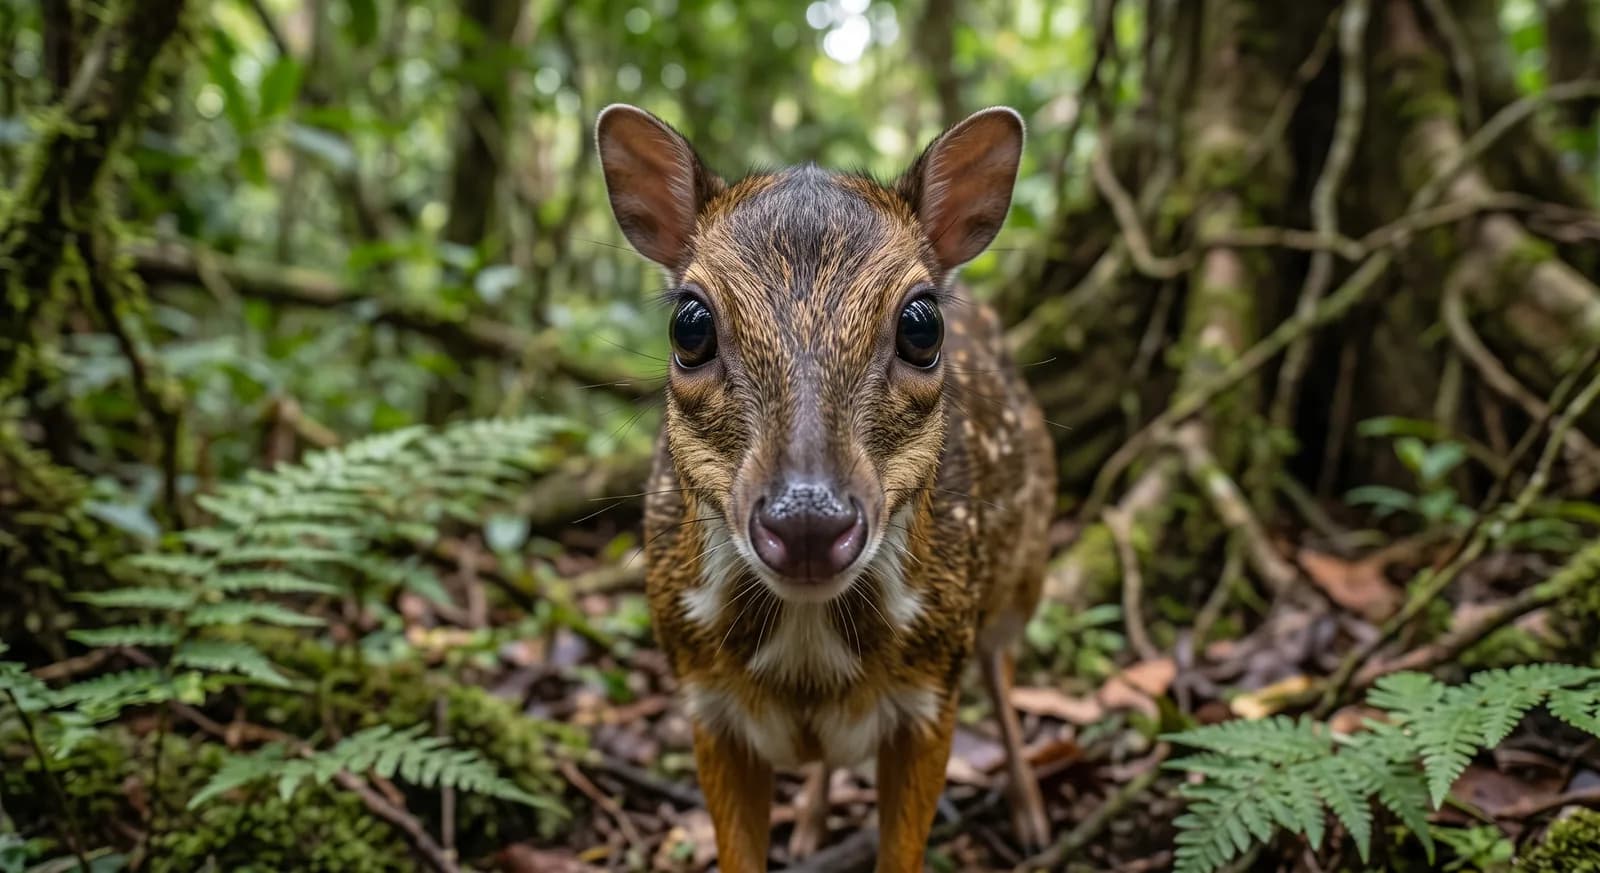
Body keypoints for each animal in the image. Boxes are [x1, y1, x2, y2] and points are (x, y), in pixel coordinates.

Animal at [596, 102, 1056, 873]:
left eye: (922, 324)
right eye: (689, 324)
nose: (807, 521)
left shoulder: (931, 694)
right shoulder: (703, 701)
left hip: (1021, 575)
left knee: (1002, 672)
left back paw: (1032, 816)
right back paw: (812, 824)